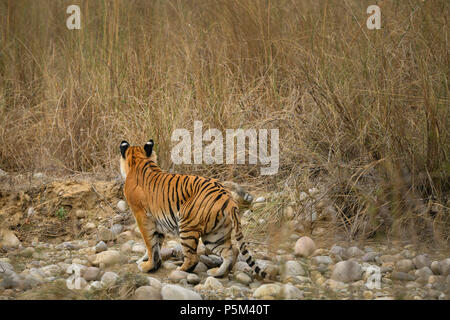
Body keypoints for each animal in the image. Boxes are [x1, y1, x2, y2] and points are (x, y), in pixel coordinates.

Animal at [118, 139, 268, 278]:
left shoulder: (142, 216)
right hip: (215, 234)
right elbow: (156, 243)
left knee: (192, 258)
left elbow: (150, 243)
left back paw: (179, 270)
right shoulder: (157, 221)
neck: (138, 160)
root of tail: (229, 198)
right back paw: (217, 273)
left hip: (187, 226)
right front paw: (147, 262)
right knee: (231, 251)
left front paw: (148, 266)